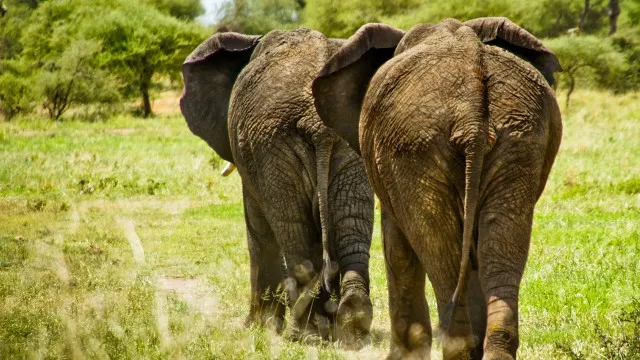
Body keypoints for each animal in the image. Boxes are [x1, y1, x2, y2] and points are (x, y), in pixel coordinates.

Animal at [180, 26, 376, 348]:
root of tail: (316, 123)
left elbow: (257, 229)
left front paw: (256, 327)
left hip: (272, 148)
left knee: (292, 231)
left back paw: (304, 332)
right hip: (347, 147)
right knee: (353, 224)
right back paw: (351, 325)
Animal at [312, 17, 564, 360]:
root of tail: (472, 114)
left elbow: (397, 249)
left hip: (414, 146)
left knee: (439, 251)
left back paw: (458, 348)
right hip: (520, 137)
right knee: (500, 246)